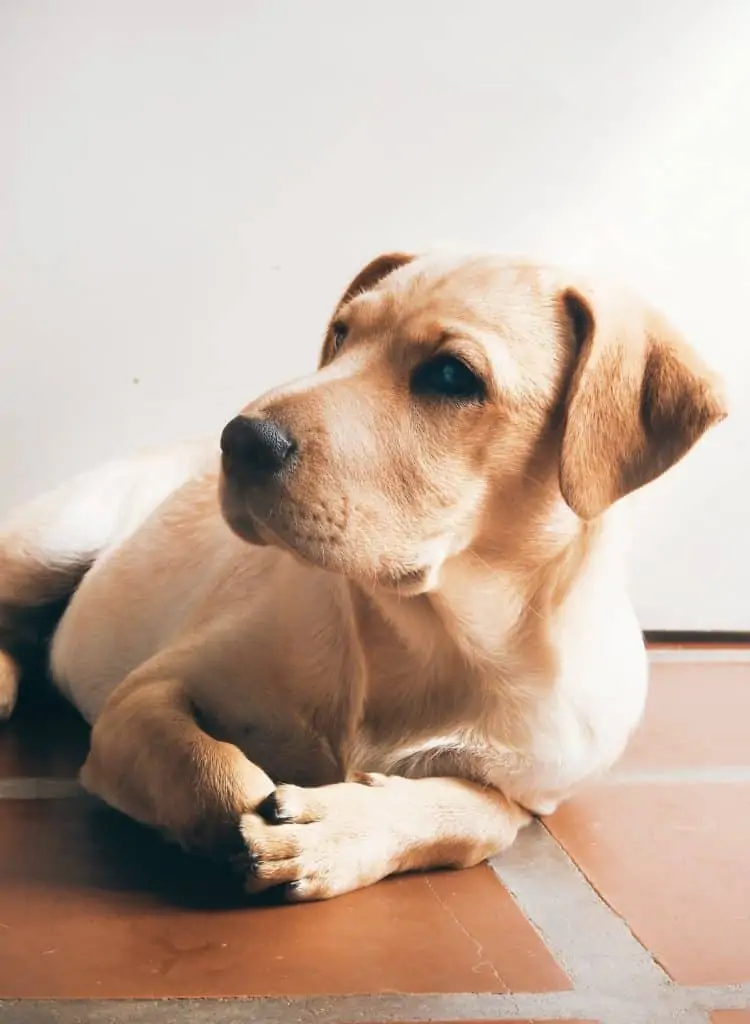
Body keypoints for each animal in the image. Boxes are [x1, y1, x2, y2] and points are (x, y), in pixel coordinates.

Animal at [0, 253, 725, 897]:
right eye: (342, 336)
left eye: (452, 375)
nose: (238, 440)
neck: (432, 631)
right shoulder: (143, 696)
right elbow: (206, 763)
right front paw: (244, 822)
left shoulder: (529, 791)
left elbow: (471, 816)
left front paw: (332, 834)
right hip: (53, 542)